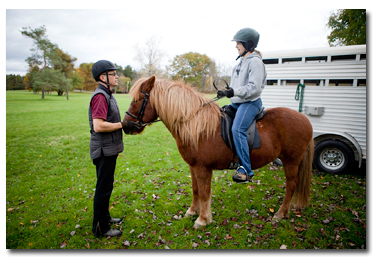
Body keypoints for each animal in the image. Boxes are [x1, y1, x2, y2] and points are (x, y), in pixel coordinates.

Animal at [124, 74, 314, 227]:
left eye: (137, 100)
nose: (125, 126)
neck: (195, 125)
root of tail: (305, 119)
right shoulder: (193, 166)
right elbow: (195, 189)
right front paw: (192, 211)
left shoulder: (203, 168)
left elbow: (204, 193)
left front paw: (203, 219)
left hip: (291, 160)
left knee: (291, 185)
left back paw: (281, 213)